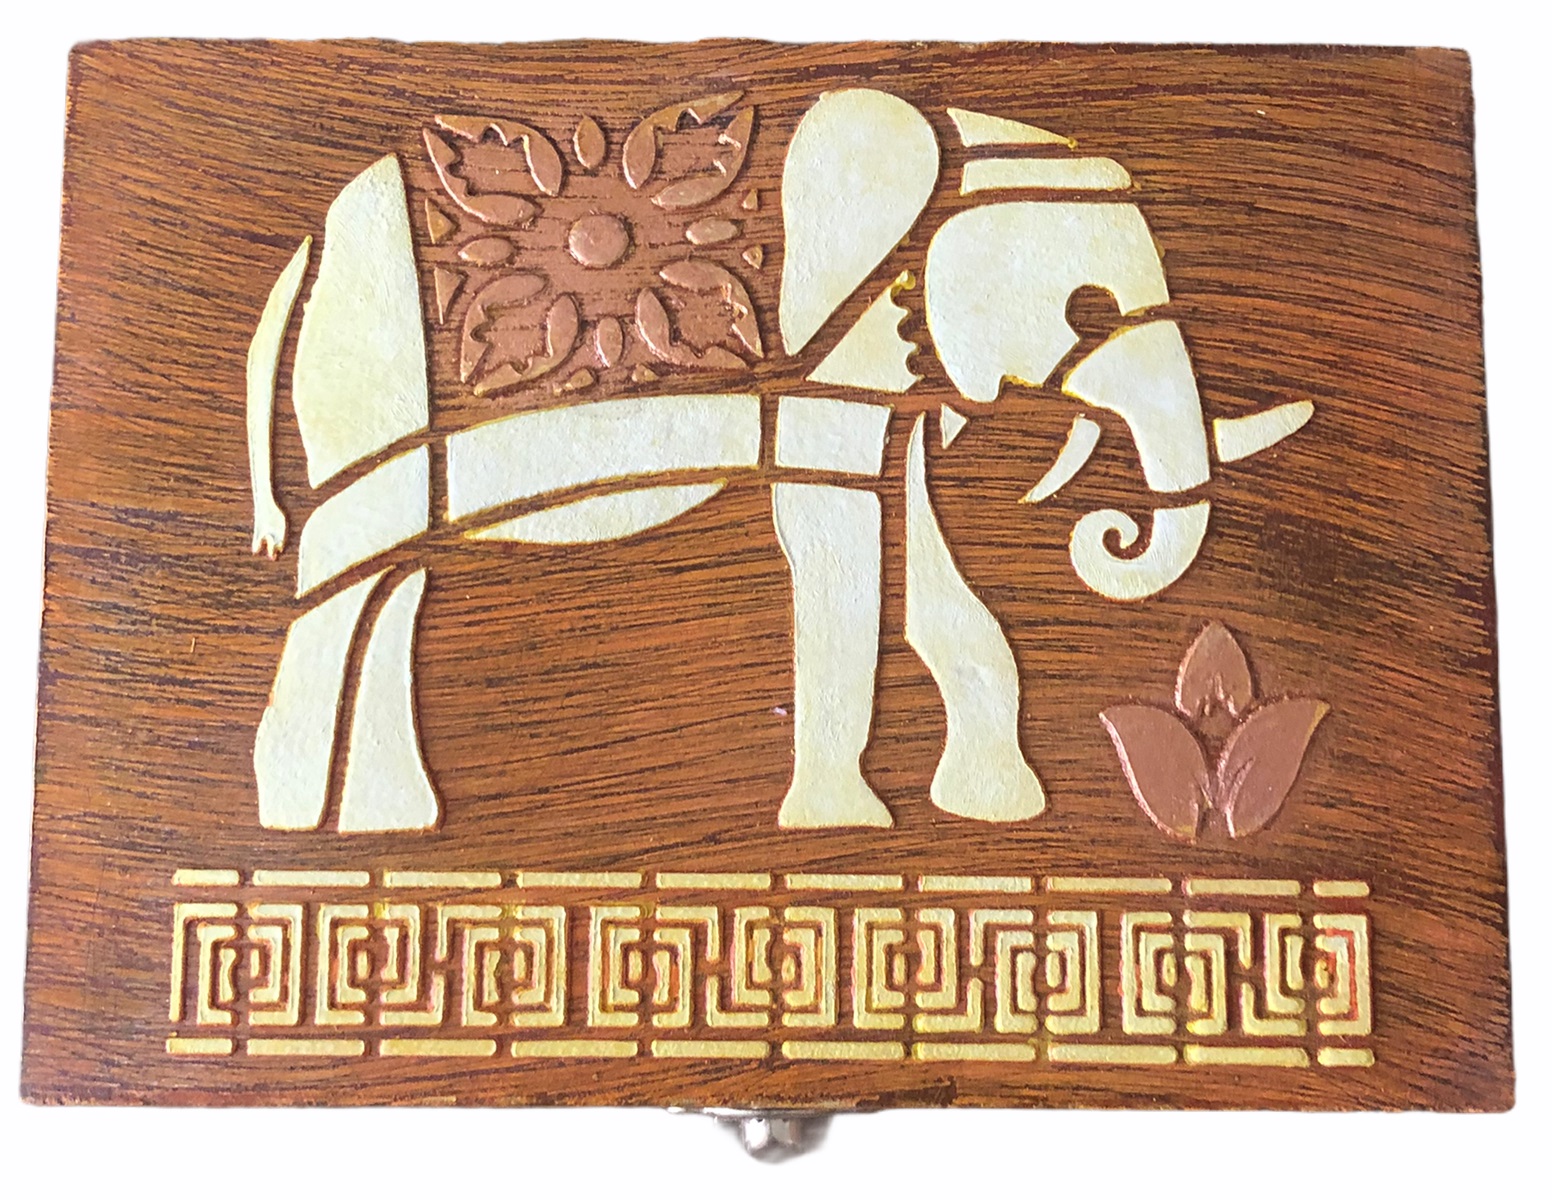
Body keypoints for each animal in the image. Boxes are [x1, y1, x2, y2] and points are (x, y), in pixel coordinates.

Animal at [244, 88, 1311, 834]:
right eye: (1089, 308)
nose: (1110, 534)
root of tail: (304, 246)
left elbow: (937, 585)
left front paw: (993, 807)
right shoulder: (816, 374)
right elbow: (836, 549)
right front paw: (846, 822)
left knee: (391, 586)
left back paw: (383, 821)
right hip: (365, 367)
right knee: (344, 583)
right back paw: (299, 817)